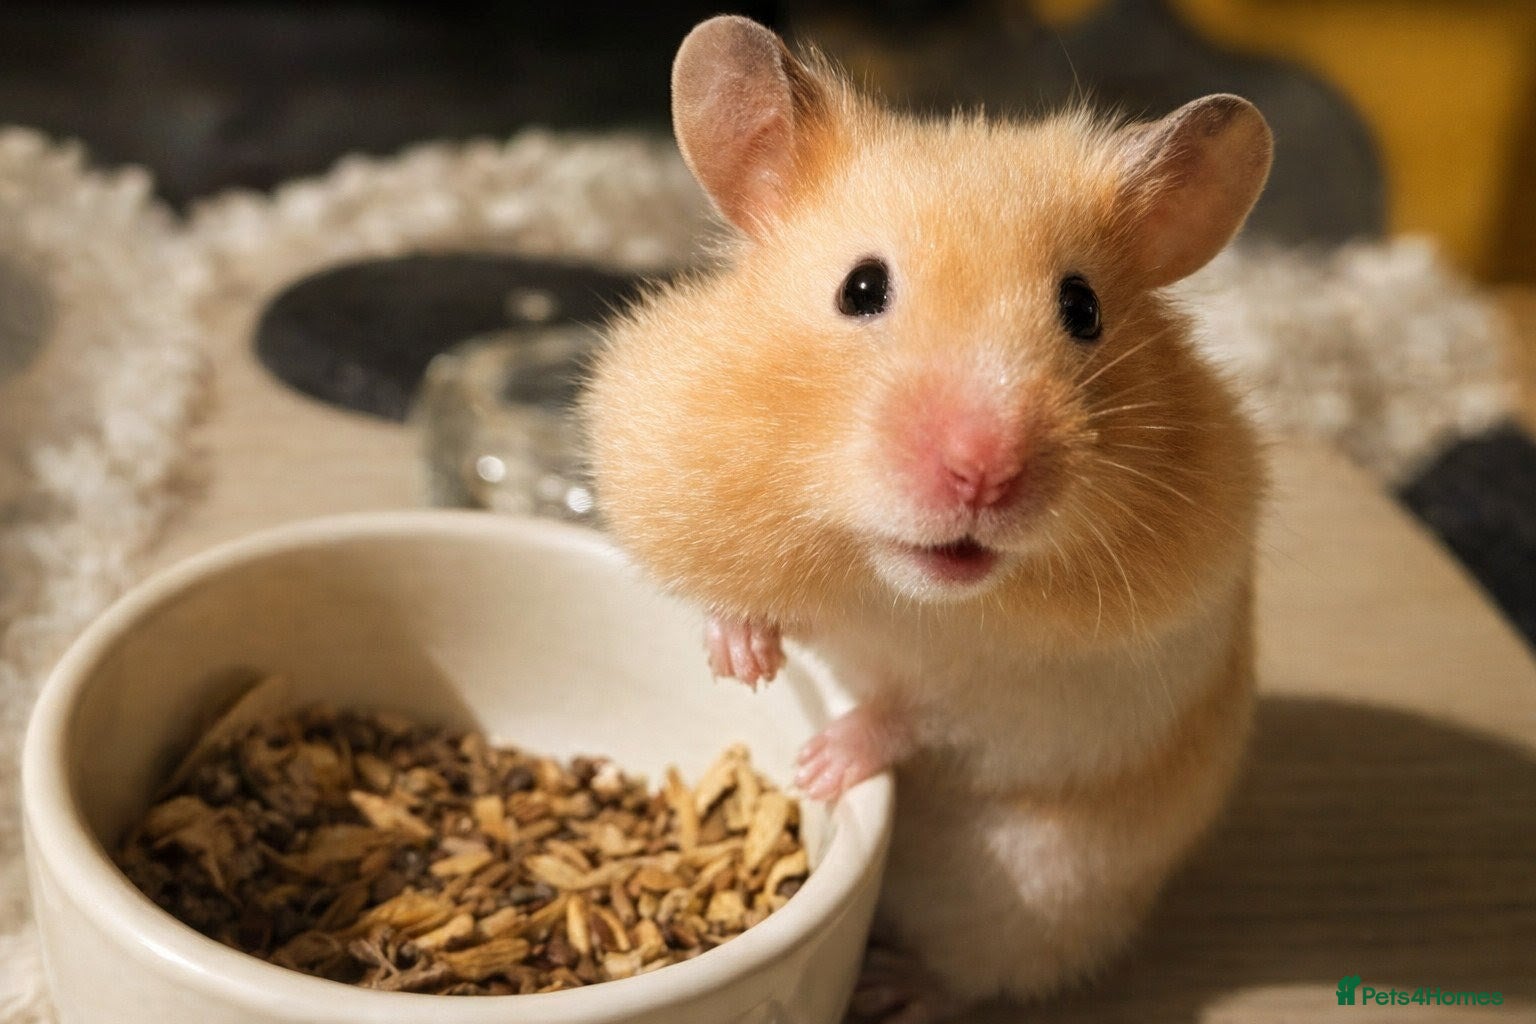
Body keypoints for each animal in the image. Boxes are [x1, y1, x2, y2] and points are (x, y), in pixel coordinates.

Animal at [585, 15, 1270, 1022]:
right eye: (861, 289)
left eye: (1083, 308)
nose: (983, 471)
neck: (895, 592)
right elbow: (735, 602)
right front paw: (743, 664)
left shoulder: (1057, 691)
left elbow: (924, 712)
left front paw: (820, 763)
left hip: (1040, 891)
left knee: (978, 971)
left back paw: (891, 986)